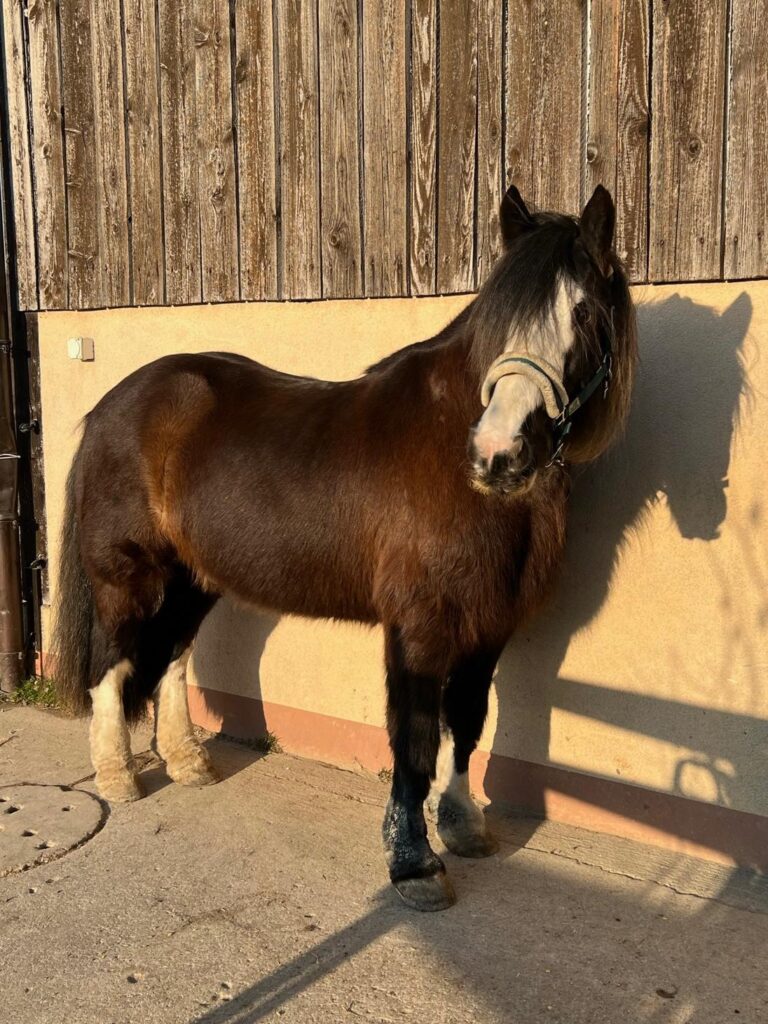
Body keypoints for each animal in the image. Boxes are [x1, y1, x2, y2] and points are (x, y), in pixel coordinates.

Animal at [52, 183, 636, 911]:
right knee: (113, 660)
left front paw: (464, 827)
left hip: (193, 579)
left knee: (172, 660)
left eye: (583, 313)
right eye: (499, 321)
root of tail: (114, 405)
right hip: (129, 576)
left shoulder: (489, 624)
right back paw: (117, 777)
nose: (498, 454)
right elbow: (414, 737)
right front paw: (413, 864)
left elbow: (467, 719)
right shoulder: (418, 626)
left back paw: (187, 762)